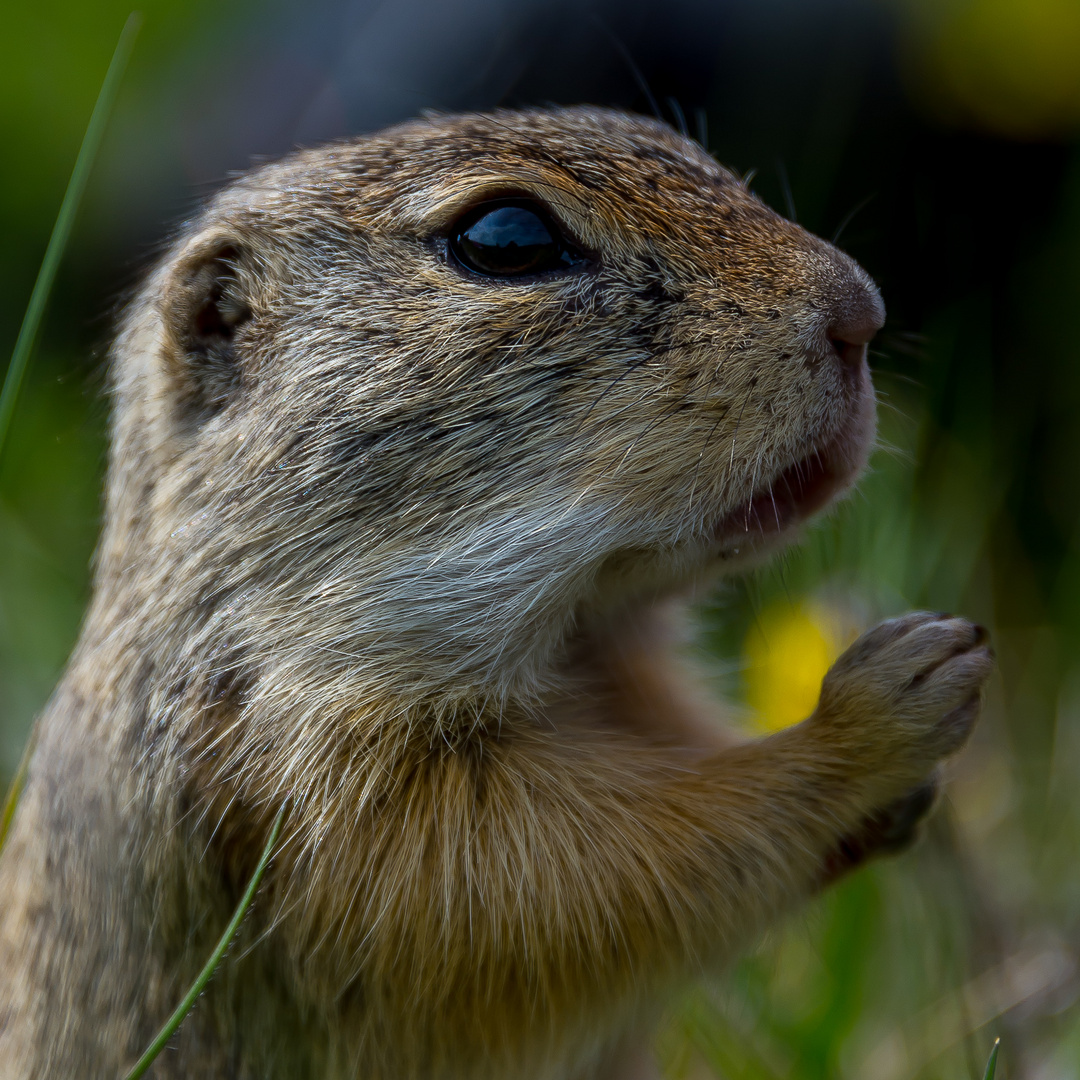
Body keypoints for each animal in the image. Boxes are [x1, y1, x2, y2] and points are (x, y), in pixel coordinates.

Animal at [0, 109, 989, 1080]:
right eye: (507, 239)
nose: (861, 311)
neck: (578, 638)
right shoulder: (336, 798)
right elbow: (579, 886)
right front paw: (886, 705)